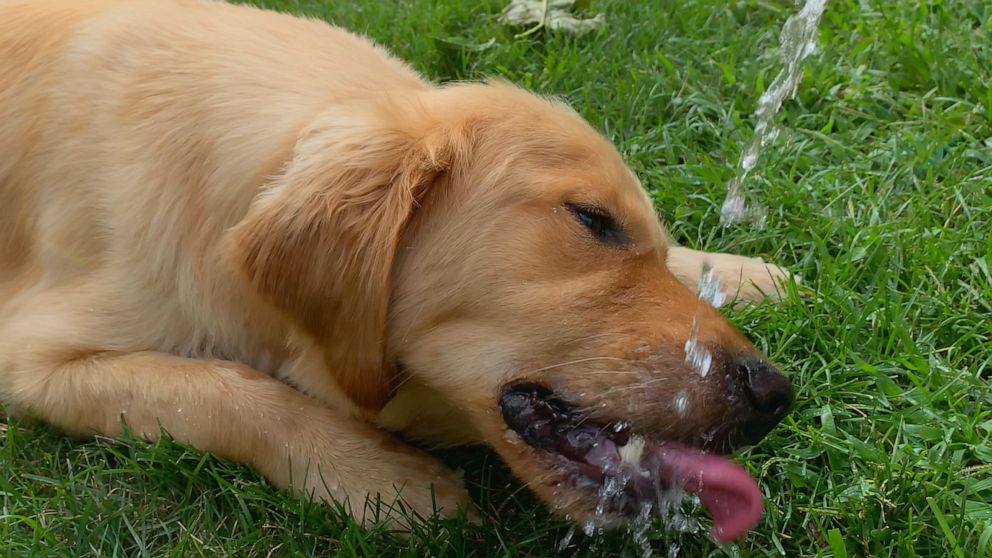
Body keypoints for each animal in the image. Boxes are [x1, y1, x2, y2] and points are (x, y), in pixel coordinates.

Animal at [0, 0, 792, 544]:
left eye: (642, 234)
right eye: (592, 220)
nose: (774, 393)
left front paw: (746, 272)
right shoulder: (32, 358)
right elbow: (230, 391)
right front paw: (386, 480)